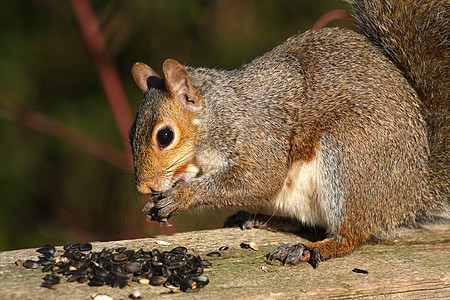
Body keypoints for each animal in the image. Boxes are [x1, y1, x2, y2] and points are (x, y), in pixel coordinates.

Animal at [128, 0, 448, 268]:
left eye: (165, 136)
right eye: (131, 132)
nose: (143, 187)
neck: (218, 116)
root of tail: (411, 194)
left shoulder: (259, 135)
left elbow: (260, 179)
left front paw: (182, 196)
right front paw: (153, 205)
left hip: (350, 158)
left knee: (351, 235)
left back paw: (317, 248)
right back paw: (260, 219)